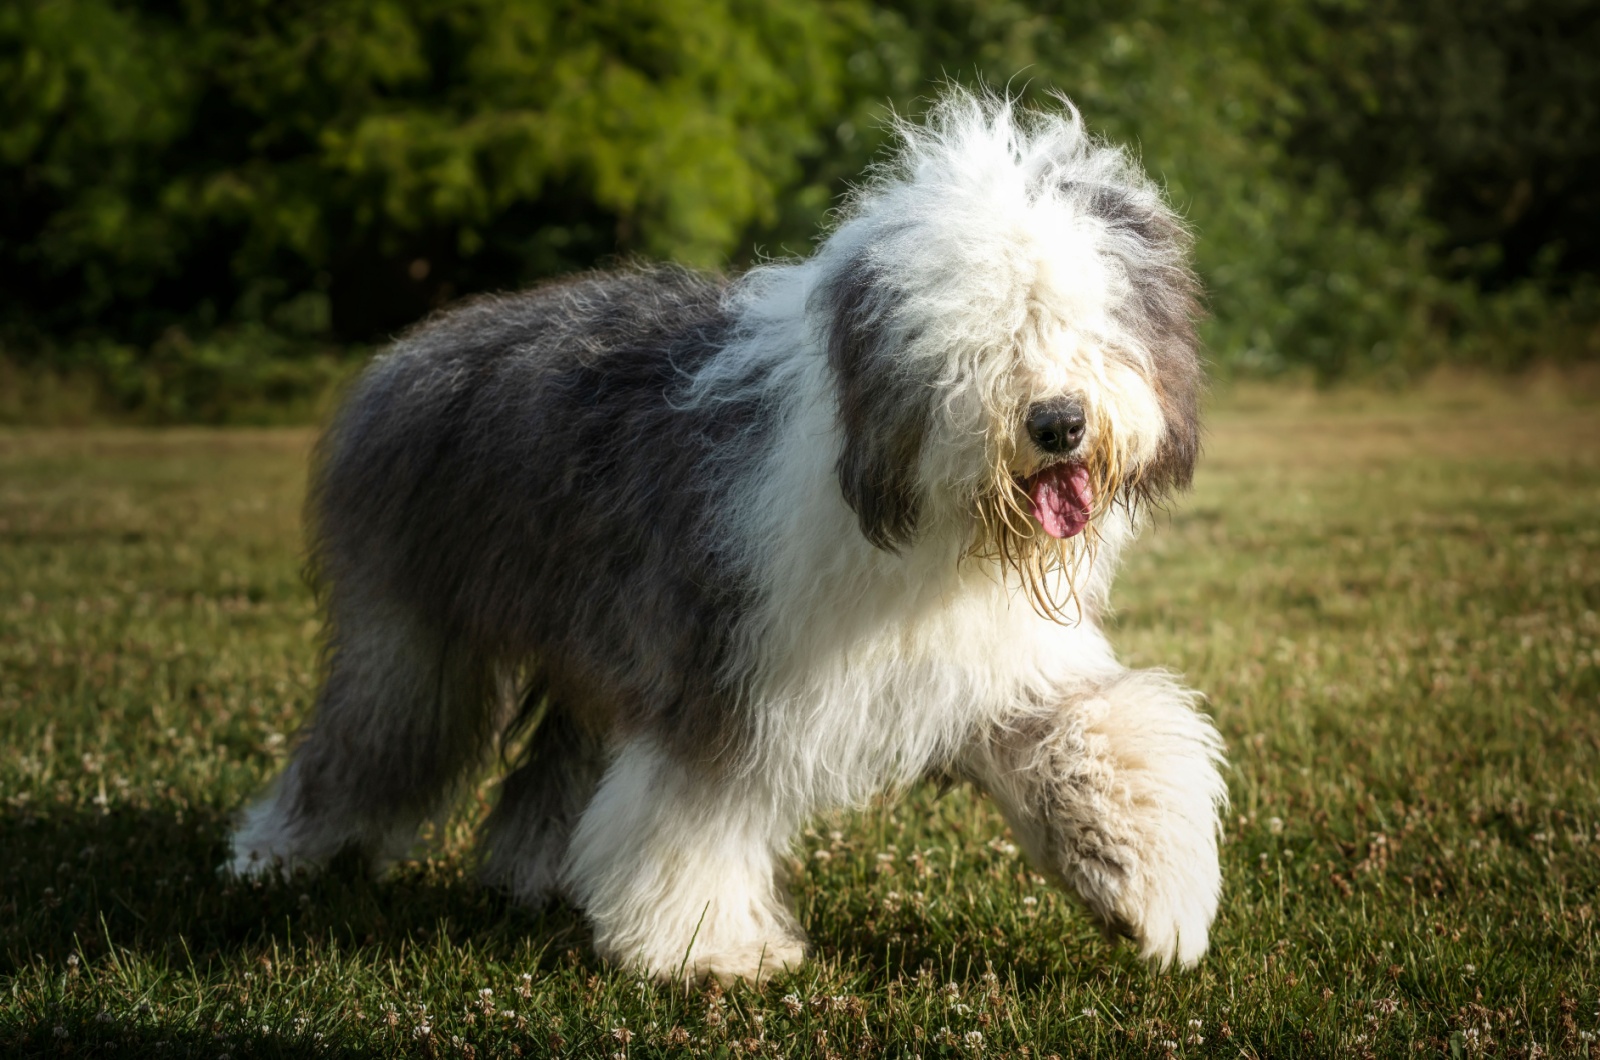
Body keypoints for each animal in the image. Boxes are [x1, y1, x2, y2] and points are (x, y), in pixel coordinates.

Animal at [228, 91, 1222, 986]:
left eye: (1086, 319)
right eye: (979, 336)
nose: (1058, 424)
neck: (918, 514)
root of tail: (415, 345)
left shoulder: (985, 657)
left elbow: (1092, 731)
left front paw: (1150, 893)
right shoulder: (718, 663)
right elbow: (693, 809)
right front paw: (709, 949)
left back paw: (534, 875)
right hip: (416, 624)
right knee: (375, 738)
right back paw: (276, 855)